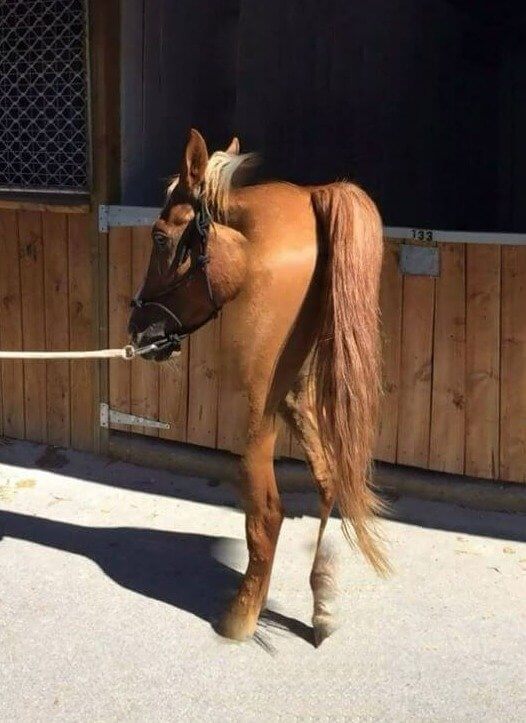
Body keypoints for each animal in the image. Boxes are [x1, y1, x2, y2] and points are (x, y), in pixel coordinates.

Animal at [128, 129, 389, 645]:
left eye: (161, 237)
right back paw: (320, 606)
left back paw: (242, 616)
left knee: (267, 512)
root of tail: (313, 196)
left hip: (256, 408)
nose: (138, 328)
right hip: (294, 392)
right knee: (328, 479)